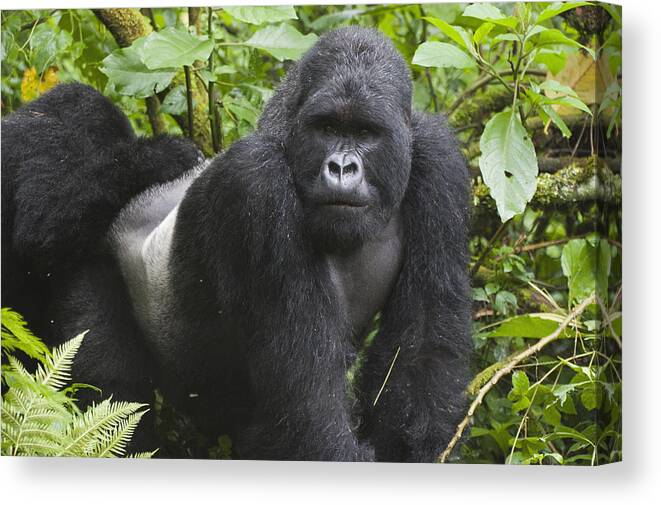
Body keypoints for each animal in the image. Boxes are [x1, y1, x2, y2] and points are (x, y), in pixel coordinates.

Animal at [2, 26, 472, 460]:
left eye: (366, 132)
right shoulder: (254, 181)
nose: (341, 167)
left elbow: (422, 352)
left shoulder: (439, 158)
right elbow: (306, 409)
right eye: (327, 128)